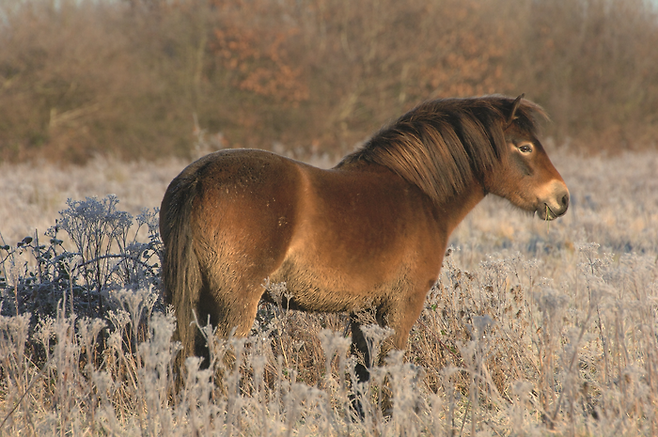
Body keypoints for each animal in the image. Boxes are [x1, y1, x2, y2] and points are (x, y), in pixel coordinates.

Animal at [160, 94, 568, 382]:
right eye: (525, 146)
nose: (561, 198)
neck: (419, 193)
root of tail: (200, 176)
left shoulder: (364, 311)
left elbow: (362, 373)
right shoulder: (401, 307)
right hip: (237, 302)